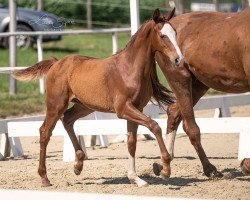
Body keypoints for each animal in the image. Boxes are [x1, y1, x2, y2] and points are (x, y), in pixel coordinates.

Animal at [12, 7, 184, 186]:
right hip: (56, 105)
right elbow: (154, 125)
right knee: (45, 132)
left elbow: (132, 142)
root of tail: (56, 63)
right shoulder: (123, 109)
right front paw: (165, 168)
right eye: (162, 35)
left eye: (175, 33)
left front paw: (135, 178)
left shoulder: (137, 108)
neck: (129, 69)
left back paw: (78, 165)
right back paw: (45, 177)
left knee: (67, 119)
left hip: (84, 106)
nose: (178, 59)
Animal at [154, 6, 250, 178]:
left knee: (174, 112)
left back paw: (164, 166)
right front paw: (246, 164)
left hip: (199, 85)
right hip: (180, 79)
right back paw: (209, 169)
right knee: (191, 127)